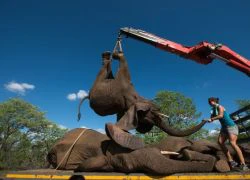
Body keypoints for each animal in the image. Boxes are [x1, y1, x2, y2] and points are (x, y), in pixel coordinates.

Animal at [78, 51, 207, 149]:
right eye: (154, 113)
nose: (205, 119)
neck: (138, 97)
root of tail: (88, 95)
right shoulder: (124, 84)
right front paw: (118, 55)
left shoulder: (124, 108)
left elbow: (119, 120)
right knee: (105, 69)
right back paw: (107, 55)